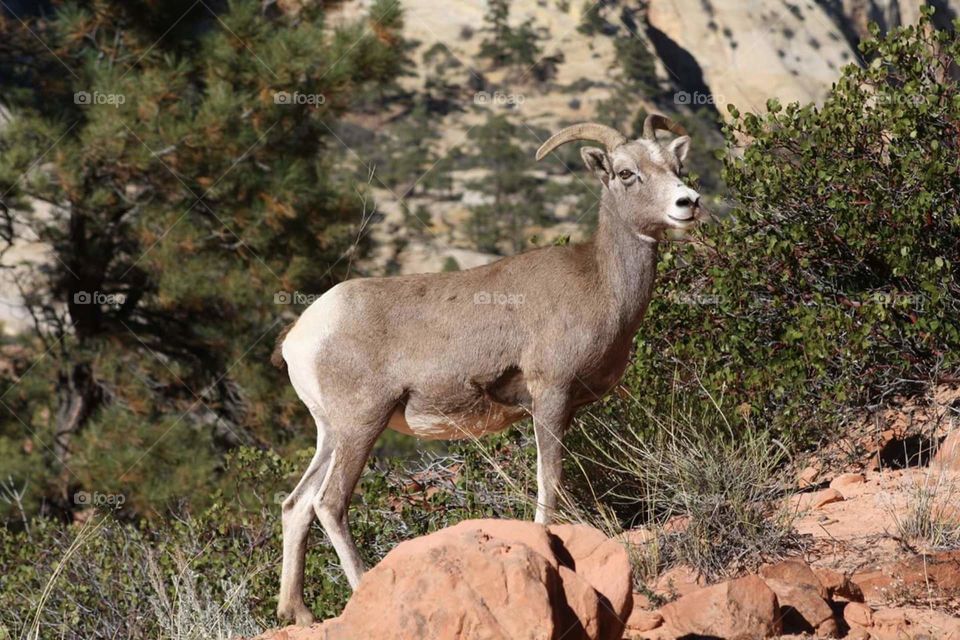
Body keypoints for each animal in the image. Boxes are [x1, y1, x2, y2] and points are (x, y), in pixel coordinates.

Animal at [273, 114, 708, 625]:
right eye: (625, 173)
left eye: (676, 166)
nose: (687, 202)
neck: (600, 284)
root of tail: (302, 335)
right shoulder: (550, 396)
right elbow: (549, 480)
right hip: (362, 425)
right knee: (329, 503)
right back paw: (360, 590)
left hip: (331, 433)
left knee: (297, 505)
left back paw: (298, 614)